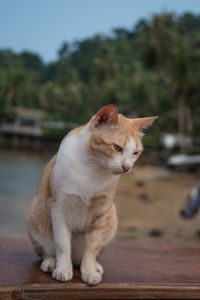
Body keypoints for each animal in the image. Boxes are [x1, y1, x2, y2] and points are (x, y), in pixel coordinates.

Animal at [27, 105, 158, 286]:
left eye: (135, 153)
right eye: (117, 147)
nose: (127, 167)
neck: (93, 168)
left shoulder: (102, 214)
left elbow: (92, 248)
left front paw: (89, 271)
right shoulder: (60, 209)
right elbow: (62, 244)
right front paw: (63, 269)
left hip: (112, 219)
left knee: (88, 255)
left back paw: (94, 266)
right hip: (34, 215)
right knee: (48, 251)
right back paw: (51, 262)